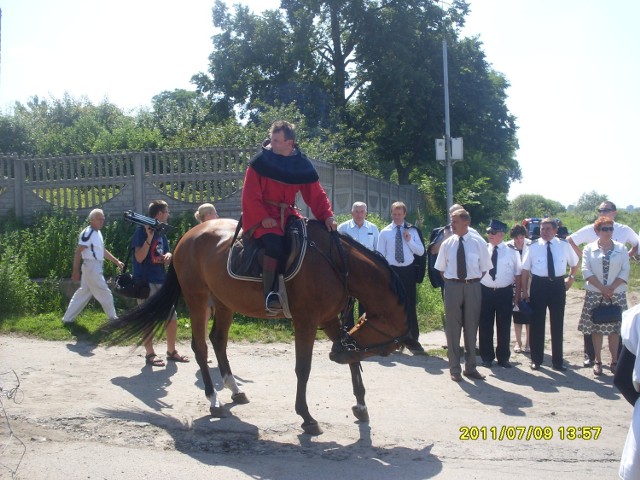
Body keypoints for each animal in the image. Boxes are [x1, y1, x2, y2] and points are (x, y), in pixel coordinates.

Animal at [107, 218, 408, 436]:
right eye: (387, 347)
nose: (335, 355)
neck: (334, 261)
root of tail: (188, 235)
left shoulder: (329, 319)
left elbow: (354, 360)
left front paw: (360, 405)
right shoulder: (307, 321)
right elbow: (303, 368)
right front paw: (306, 416)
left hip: (224, 301)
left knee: (218, 340)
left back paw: (234, 389)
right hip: (197, 299)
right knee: (200, 346)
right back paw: (213, 399)